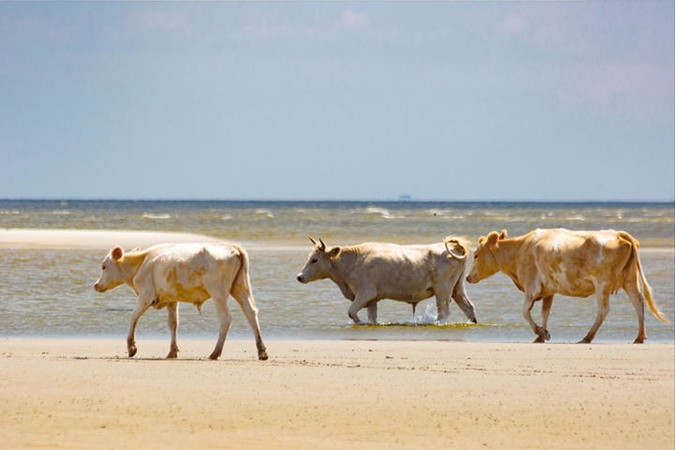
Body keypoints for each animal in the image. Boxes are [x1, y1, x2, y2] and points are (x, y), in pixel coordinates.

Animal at [95, 241, 270, 360]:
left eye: (103, 266)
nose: (96, 285)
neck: (141, 263)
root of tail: (232, 247)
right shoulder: (172, 299)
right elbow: (173, 324)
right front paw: (172, 351)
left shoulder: (146, 296)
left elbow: (133, 317)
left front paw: (131, 347)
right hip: (239, 288)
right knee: (251, 313)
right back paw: (261, 351)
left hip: (218, 292)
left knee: (226, 318)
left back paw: (215, 353)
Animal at [294, 237, 476, 326]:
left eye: (315, 260)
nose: (299, 277)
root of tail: (456, 247)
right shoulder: (372, 299)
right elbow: (372, 318)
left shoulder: (366, 292)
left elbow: (351, 311)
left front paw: (359, 322)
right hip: (457, 288)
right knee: (468, 307)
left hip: (443, 290)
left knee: (443, 312)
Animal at [464, 230, 672, 342]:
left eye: (476, 255)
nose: (467, 277)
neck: (520, 250)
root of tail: (619, 233)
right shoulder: (548, 290)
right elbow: (545, 313)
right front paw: (542, 335)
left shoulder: (531, 287)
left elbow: (525, 312)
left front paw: (540, 332)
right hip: (630, 280)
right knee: (639, 303)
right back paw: (639, 337)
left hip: (602, 284)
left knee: (604, 310)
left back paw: (587, 337)